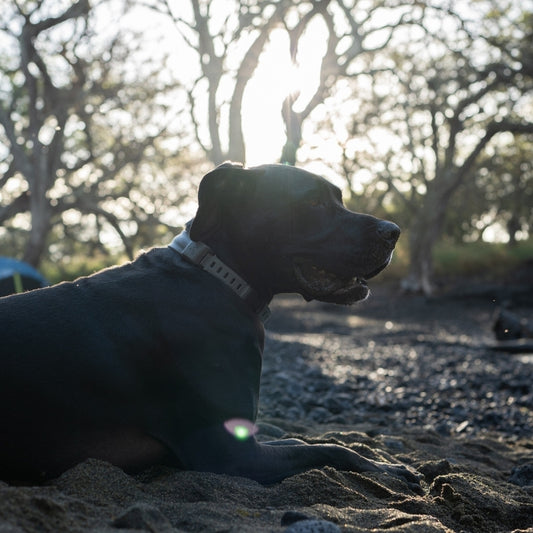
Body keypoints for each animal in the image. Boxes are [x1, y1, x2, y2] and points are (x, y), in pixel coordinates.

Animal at [0, 162, 420, 490]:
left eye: (339, 199)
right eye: (313, 202)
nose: (394, 231)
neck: (220, 277)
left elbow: (306, 443)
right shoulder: (230, 454)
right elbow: (331, 448)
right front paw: (386, 468)